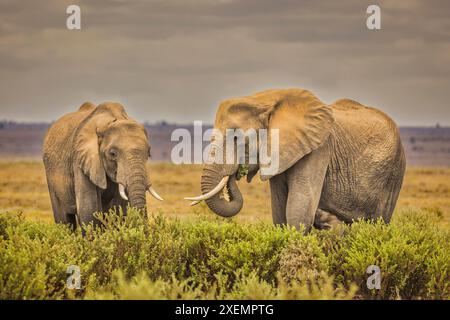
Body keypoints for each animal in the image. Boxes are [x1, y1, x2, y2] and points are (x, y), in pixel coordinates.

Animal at [42, 101, 163, 229]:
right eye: (112, 154)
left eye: (149, 154)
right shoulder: (80, 160)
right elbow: (88, 211)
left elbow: (119, 210)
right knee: (65, 220)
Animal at [185, 89, 406, 231]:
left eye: (238, 139)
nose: (237, 172)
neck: (265, 101)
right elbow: (280, 212)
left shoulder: (319, 149)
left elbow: (298, 211)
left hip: (394, 173)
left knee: (378, 223)